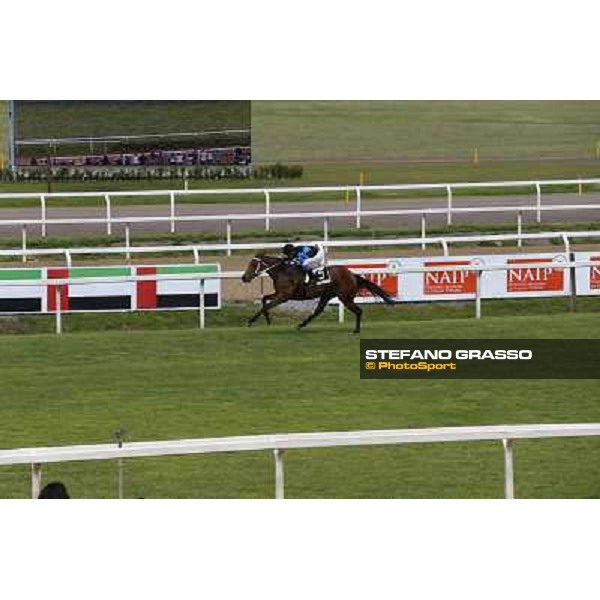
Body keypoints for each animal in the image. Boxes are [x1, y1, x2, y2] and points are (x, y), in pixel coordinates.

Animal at [241, 251, 396, 330]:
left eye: (253, 264)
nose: (244, 277)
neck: (283, 272)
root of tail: (352, 274)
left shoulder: (284, 296)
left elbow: (266, 305)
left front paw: (250, 321)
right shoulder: (279, 294)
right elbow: (264, 299)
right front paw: (267, 319)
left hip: (345, 297)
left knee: (358, 311)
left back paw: (356, 330)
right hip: (327, 295)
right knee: (318, 311)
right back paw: (301, 324)